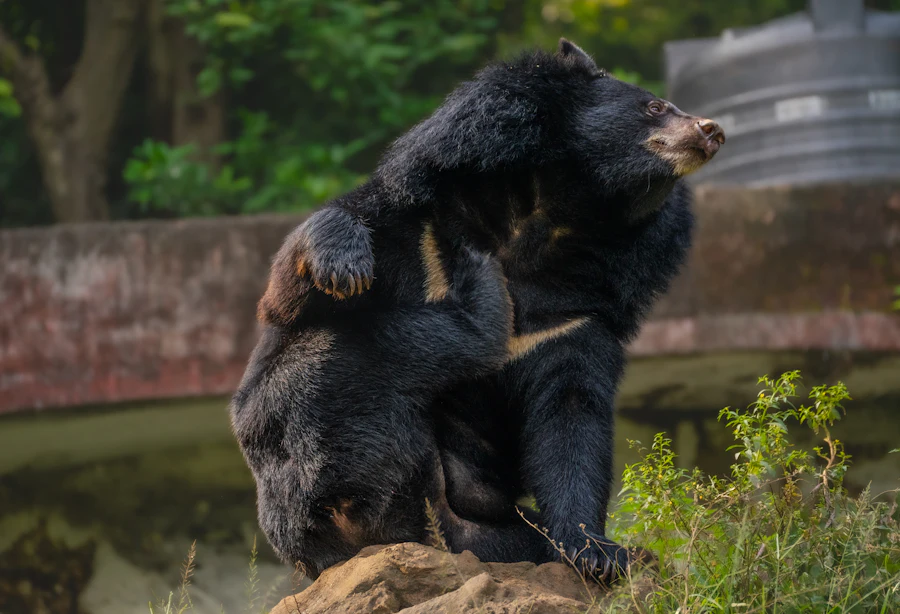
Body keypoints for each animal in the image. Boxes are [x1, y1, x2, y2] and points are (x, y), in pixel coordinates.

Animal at [248, 38, 724, 583]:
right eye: (655, 106)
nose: (712, 130)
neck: (546, 215)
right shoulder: (420, 221)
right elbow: (288, 295)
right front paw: (342, 267)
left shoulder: (575, 317)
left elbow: (570, 418)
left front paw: (600, 554)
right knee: (336, 364)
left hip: (493, 537)